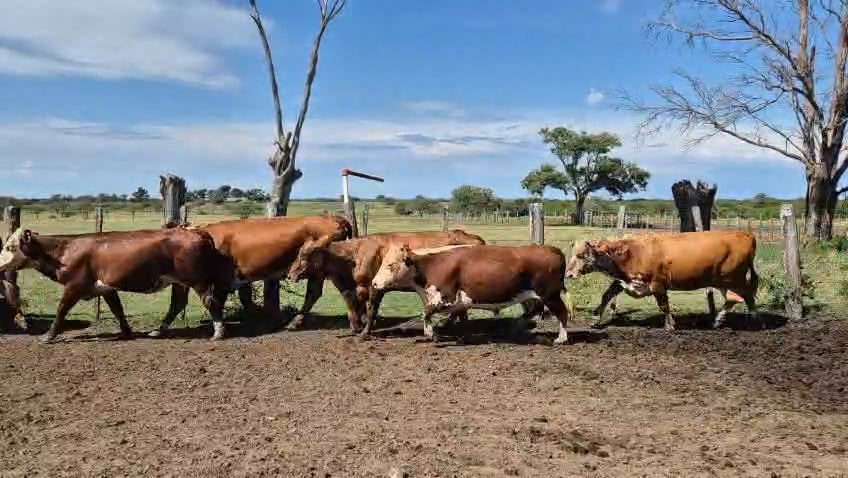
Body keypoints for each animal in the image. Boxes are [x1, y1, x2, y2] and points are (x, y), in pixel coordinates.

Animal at [0, 226, 234, 342]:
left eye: (10, 246)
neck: (64, 250)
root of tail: (194, 231)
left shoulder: (74, 287)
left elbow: (61, 311)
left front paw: (48, 336)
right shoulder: (107, 288)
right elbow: (117, 310)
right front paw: (126, 332)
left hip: (197, 281)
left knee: (211, 302)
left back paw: (218, 333)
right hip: (179, 282)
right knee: (177, 304)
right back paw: (158, 331)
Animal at [151, 214, 352, 337]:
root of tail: (334, 218)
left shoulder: (222, 280)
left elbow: (216, 302)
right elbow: (177, 303)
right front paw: (159, 329)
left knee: (314, 293)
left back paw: (295, 322)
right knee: (315, 293)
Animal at [370, 243, 574, 345]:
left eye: (390, 265)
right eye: (382, 263)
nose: (374, 283)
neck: (431, 264)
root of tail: (551, 249)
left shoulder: (446, 297)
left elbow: (425, 312)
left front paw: (430, 333)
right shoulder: (459, 302)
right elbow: (459, 318)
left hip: (550, 295)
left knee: (562, 313)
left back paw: (561, 338)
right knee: (532, 312)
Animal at [565, 230, 760, 331]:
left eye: (581, 255)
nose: (569, 274)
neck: (634, 252)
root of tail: (747, 235)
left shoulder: (658, 284)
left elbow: (664, 305)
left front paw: (670, 325)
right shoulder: (624, 282)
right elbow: (606, 296)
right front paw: (595, 319)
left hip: (735, 279)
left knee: (747, 297)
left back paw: (756, 320)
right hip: (723, 281)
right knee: (733, 299)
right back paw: (717, 321)